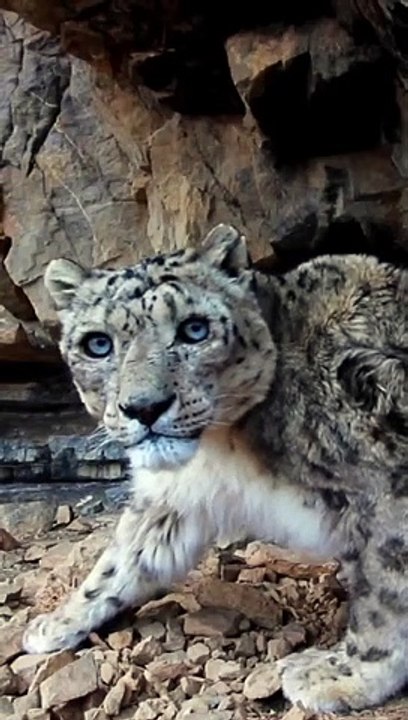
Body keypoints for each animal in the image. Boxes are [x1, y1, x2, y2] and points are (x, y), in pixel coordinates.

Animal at [23, 223, 408, 713]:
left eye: (194, 329)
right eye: (97, 343)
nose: (144, 407)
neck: (223, 448)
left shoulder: (387, 494)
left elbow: (384, 591)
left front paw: (347, 675)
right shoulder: (174, 497)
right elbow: (124, 557)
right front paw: (58, 620)